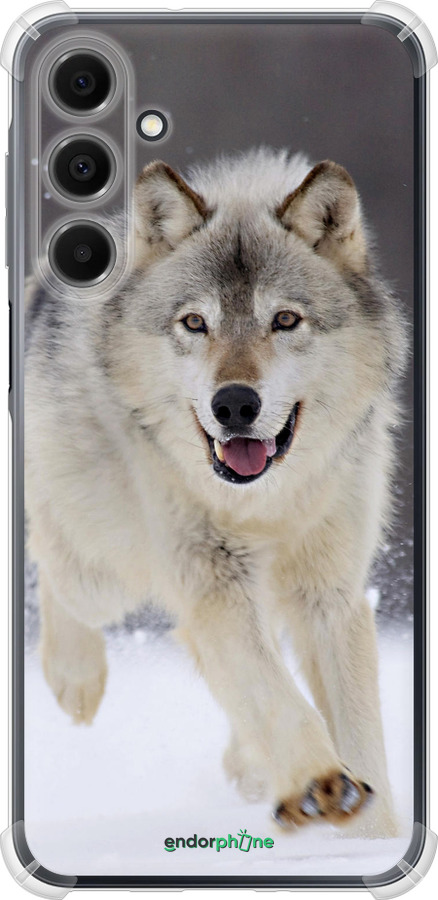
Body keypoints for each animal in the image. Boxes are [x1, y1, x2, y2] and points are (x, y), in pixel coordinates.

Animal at [25, 148, 406, 837]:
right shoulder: (213, 580)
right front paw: (320, 783)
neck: (265, 504)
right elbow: (276, 696)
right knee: (52, 561)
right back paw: (76, 679)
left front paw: (374, 837)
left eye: (285, 320)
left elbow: (359, 732)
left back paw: (251, 766)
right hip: (105, 572)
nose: (233, 404)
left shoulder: (329, 594)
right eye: (195, 323)